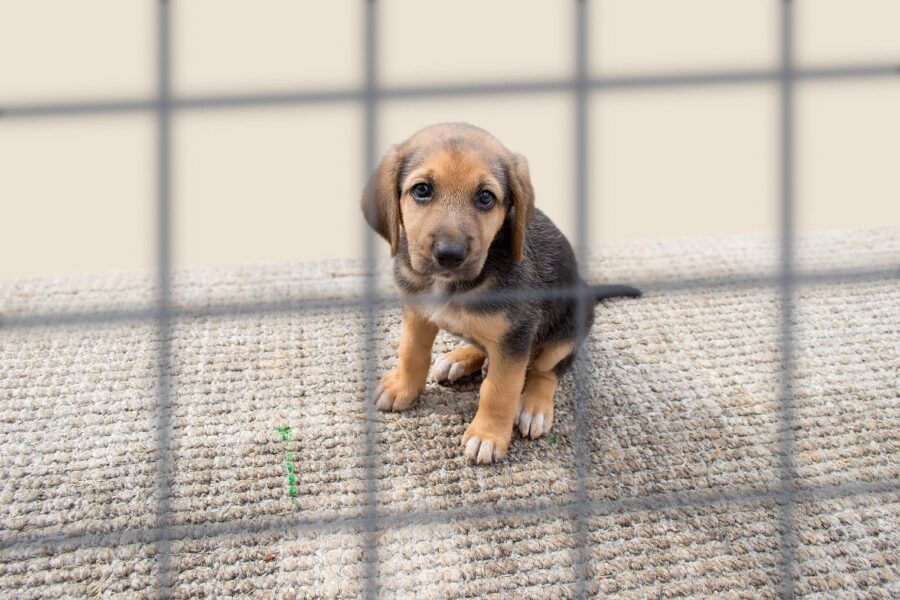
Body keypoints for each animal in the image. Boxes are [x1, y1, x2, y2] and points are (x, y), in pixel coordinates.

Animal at [360, 123, 640, 464]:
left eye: (485, 197)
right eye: (422, 190)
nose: (449, 255)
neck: (453, 285)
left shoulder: (516, 335)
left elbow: (499, 390)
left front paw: (488, 435)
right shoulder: (417, 313)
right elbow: (411, 353)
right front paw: (402, 387)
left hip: (568, 328)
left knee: (546, 371)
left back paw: (534, 407)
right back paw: (460, 358)